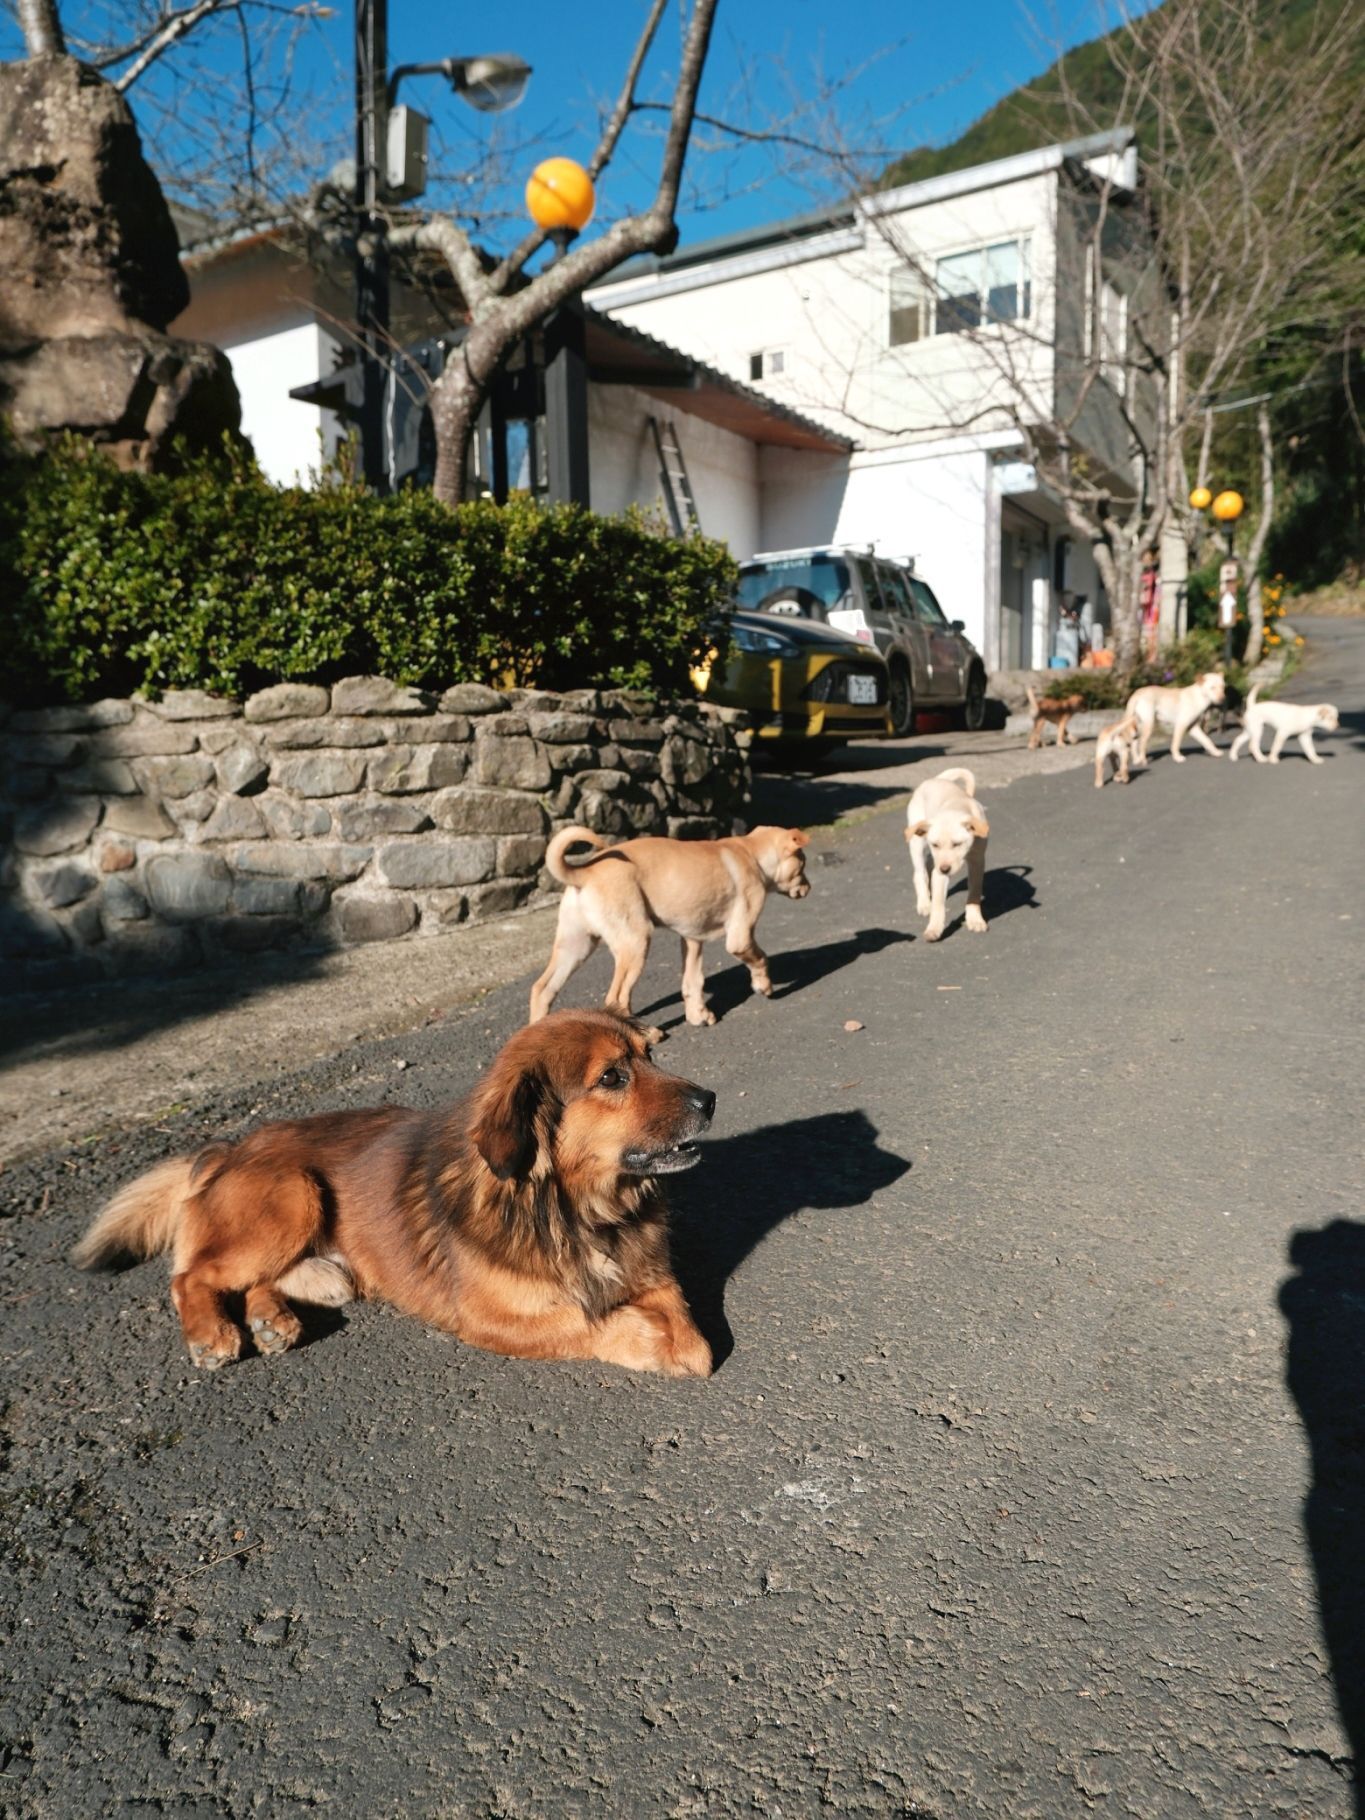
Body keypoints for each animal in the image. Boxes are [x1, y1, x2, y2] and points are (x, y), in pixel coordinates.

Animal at [74, 1011, 717, 1375]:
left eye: (651, 1055)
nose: (710, 1099)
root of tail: (230, 1147)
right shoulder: (488, 1317)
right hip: (292, 1192)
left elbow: (691, 1334)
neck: (568, 1206)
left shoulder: (656, 1276)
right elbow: (602, 1323)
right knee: (191, 1276)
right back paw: (213, 1334)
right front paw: (648, 1338)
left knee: (258, 1279)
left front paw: (677, 1342)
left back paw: (271, 1319)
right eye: (612, 1077)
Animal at [910, 764, 997, 946]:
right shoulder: (940, 870)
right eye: (935, 844)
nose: (945, 869)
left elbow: (974, 892)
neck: (957, 805)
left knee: (929, 864)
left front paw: (974, 920)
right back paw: (924, 904)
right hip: (917, 842)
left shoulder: (978, 861)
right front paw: (934, 929)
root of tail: (934, 779)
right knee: (920, 873)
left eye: (957, 844)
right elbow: (938, 904)